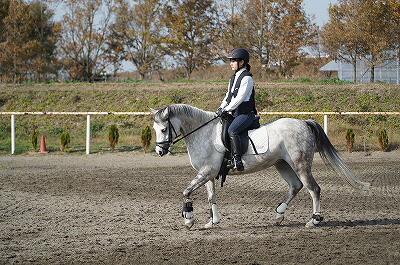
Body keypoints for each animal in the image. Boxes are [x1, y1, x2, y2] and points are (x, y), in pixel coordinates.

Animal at [149, 104, 368, 228]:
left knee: (313, 189)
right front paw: (212, 222)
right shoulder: (208, 173)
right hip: (283, 165)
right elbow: (211, 197)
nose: (160, 151)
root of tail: (304, 123)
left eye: (163, 129)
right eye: (154, 129)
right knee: (295, 186)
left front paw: (188, 219)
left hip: (300, 165)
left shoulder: (207, 172)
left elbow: (186, 191)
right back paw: (279, 215)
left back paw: (313, 220)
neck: (204, 133)